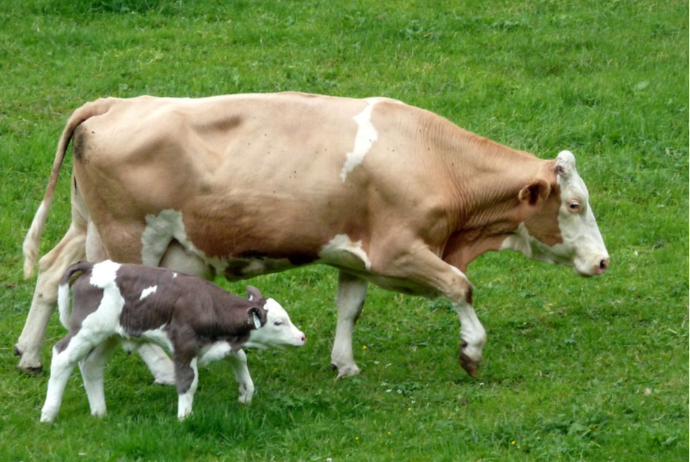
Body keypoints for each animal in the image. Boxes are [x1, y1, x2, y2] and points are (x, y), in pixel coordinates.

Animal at [17, 91, 608, 378]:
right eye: (574, 204)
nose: (604, 262)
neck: (432, 157)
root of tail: (118, 103)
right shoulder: (398, 252)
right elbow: (461, 287)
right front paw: (471, 352)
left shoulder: (353, 255)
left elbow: (350, 307)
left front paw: (344, 363)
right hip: (126, 238)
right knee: (115, 310)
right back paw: (163, 369)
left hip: (89, 226)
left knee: (52, 273)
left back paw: (28, 353)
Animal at [40, 260, 304, 422]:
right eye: (278, 322)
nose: (302, 336)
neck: (209, 305)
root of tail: (92, 265)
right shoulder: (184, 345)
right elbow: (189, 381)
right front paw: (184, 418)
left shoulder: (220, 344)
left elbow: (239, 357)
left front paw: (246, 394)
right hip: (86, 329)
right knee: (62, 356)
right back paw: (48, 414)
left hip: (110, 334)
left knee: (91, 364)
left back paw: (99, 412)